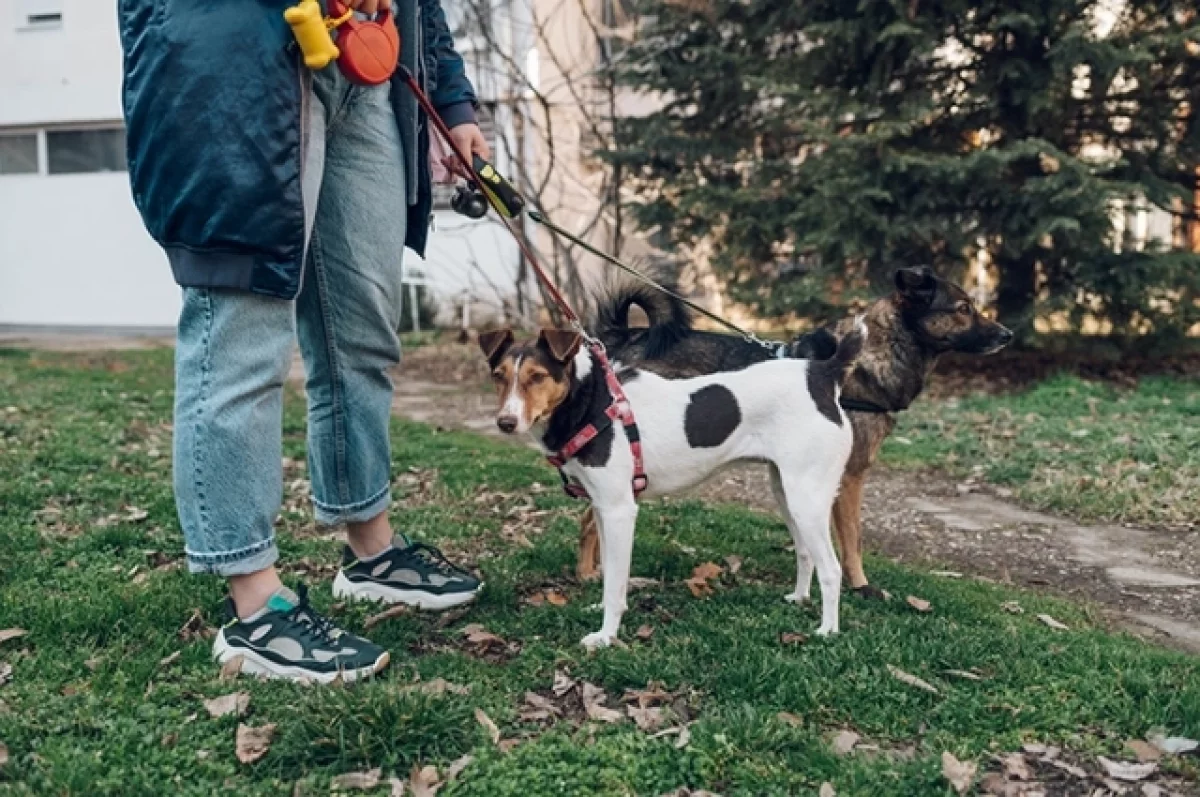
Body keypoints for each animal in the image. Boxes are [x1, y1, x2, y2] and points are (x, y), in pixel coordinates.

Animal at [482, 321, 868, 652]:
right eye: (498, 376)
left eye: (537, 376)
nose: (506, 422)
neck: (591, 401)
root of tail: (822, 374)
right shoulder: (603, 509)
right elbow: (608, 575)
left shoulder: (620, 511)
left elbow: (615, 580)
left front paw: (606, 636)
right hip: (787, 493)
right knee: (806, 553)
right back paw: (799, 599)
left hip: (807, 499)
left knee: (832, 569)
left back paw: (828, 630)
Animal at [576, 267, 1008, 597]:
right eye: (964, 308)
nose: (1009, 335)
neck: (875, 353)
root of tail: (624, 337)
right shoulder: (850, 477)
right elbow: (852, 539)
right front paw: (861, 586)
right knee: (590, 518)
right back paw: (587, 575)